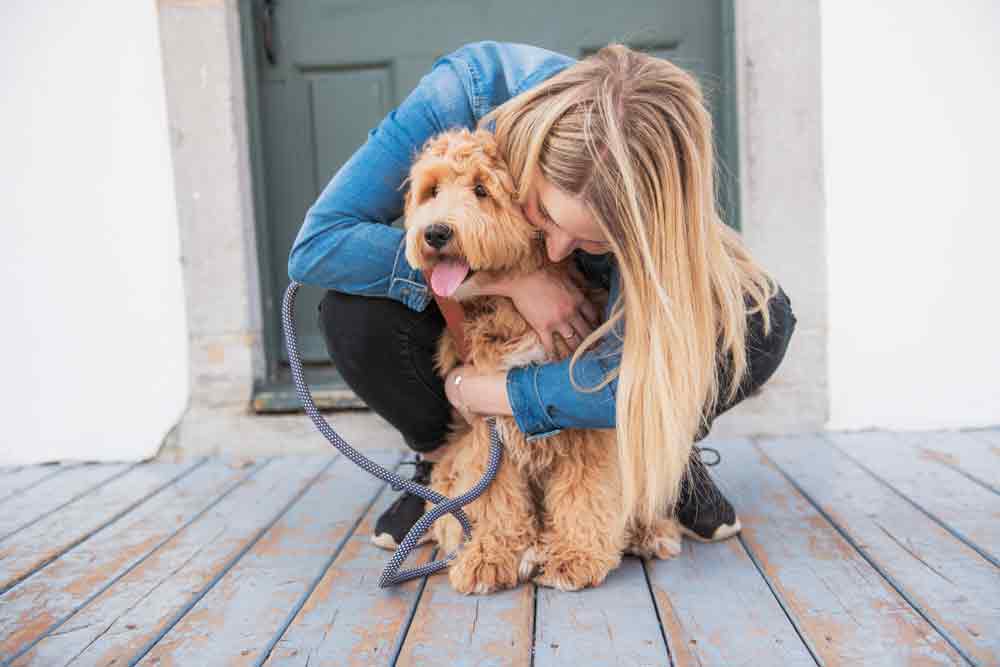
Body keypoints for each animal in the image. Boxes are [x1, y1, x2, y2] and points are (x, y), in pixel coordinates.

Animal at [400, 126, 680, 596]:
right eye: (432, 191)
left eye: (482, 189)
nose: (435, 233)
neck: (512, 307)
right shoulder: (485, 425)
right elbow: (492, 496)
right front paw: (489, 555)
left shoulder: (580, 418)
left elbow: (586, 492)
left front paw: (576, 556)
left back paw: (650, 531)